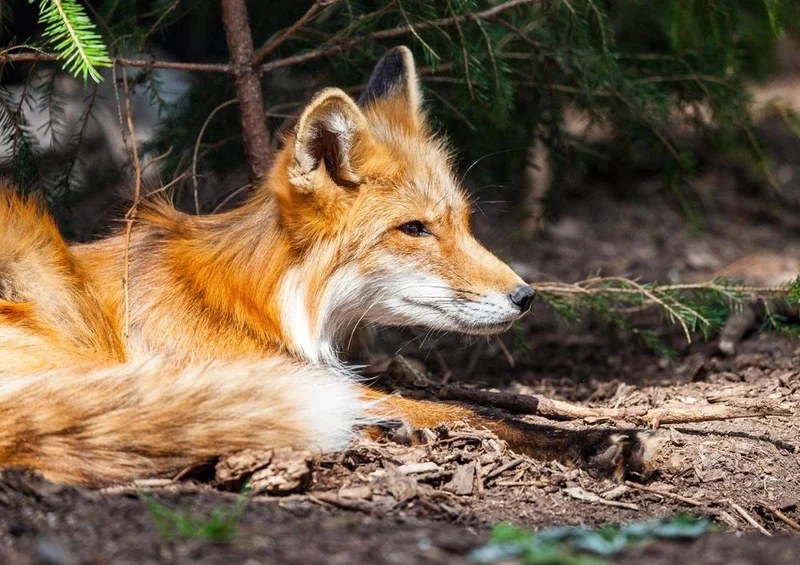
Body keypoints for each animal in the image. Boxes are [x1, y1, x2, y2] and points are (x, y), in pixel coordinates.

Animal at [0, 47, 660, 485]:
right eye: (414, 229)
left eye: (464, 222)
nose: (526, 296)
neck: (256, 302)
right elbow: (471, 411)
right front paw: (591, 441)